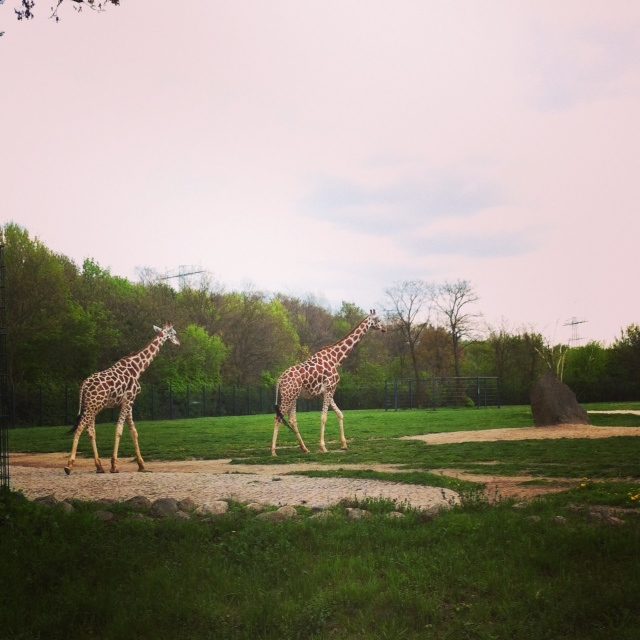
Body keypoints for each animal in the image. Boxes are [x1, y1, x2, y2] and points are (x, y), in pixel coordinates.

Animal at [64, 320, 179, 476]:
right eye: (173, 333)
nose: (178, 343)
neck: (138, 368)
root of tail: (84, 386)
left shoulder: (129, 403)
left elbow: (133, 431)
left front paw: (141, 465)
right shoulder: (128, 401)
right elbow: (119, 430)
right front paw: (114, 466)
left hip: (92, 407)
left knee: (91, 431)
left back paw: (99, 467)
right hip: (93, 406)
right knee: (80, 429)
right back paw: (69, 466)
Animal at [272, 308, 384, 456]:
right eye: (378, 319)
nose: (385, 329)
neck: (336, 359)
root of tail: (279, 379)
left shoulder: (326, 391)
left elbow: (340, 414)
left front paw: (344, 444)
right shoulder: (330, 388)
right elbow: (324, 417)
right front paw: (323, 447)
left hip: (293, 396)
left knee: (292, 419)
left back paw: (305, 448)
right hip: (288, 396)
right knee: (278, 418)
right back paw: (273, 451)